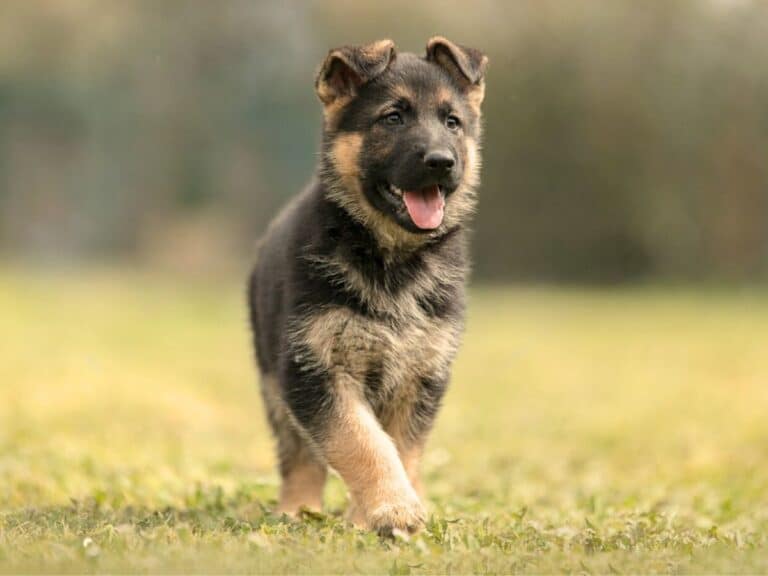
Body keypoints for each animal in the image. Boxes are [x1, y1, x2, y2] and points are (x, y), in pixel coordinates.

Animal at [249, 37, 488, 536]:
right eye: (393, 117)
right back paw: (298, 510)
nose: (442, 162)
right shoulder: (315, 369)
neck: (391, 258)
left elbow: (401, 449)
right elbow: (363, 442)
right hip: (274, 383)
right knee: (299, 457)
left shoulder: (420, 375)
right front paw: (392, 508)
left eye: (452, 122)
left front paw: (381, 510)